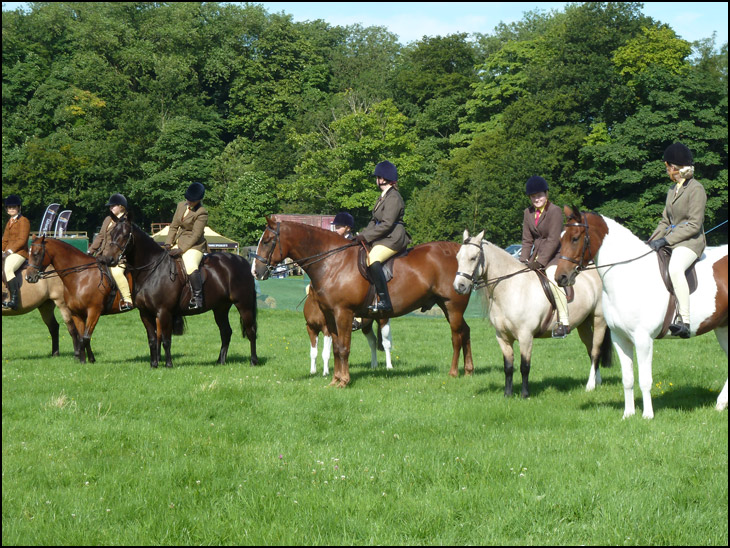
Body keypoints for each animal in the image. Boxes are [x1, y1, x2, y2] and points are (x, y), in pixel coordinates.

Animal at [25, 233, 131, 362]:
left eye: (36, 253)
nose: (29, 277)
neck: (81, 276)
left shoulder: (94, 311)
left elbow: (86, 337)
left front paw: (86, 359)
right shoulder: (77, 312)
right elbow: (82, 337)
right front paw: (85, 360)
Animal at [99, 214, 258, 368]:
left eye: (125, 235)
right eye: (111, 233)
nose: (108, 259)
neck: (152, 271)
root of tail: (243, 261)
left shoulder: (164, 312)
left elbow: (166, 339)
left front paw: (168, 364)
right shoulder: (145, 314)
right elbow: (152, 339)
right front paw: (154, 364)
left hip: (244, 305)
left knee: (251, 331)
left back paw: (253, 361)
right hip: (220, 308)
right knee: (226, 332)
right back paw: (220, 361)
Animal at [250, 216, 472, 388]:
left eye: (267, 241)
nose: (255, 272)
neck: (333, 262)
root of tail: (457, 251)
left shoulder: (343, 313)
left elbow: (343, 348)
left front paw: (344, 381)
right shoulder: (330, 316)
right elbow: (335, 348)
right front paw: (335, 380)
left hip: (452, 306)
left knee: (456, 337)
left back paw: (453, 372)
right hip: (447, 307)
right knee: (465, 331)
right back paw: (469, 370)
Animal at [450, 229, 608, 400]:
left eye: (473, 257)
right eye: (457, 257)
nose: (459, 286)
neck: (511, 288)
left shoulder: (525, 336)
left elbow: (524, 366)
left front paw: (525, 395)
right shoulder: (502, 337)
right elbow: (508, 366)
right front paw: (507, 394)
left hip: (599, 320)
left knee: (596, 351)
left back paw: (590, 386)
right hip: (583, 324)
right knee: (591, 349)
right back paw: (597, 381)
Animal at [556, 207, 724, 420]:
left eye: (575, 238)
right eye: (561, 238)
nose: (560, 277)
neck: (628, 274)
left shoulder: (643, 339)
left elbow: (645, 379)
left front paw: (647, 415)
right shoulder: (620, 338)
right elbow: (627, 378)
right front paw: (628, 414)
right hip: (723, 327)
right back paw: (720, 404)